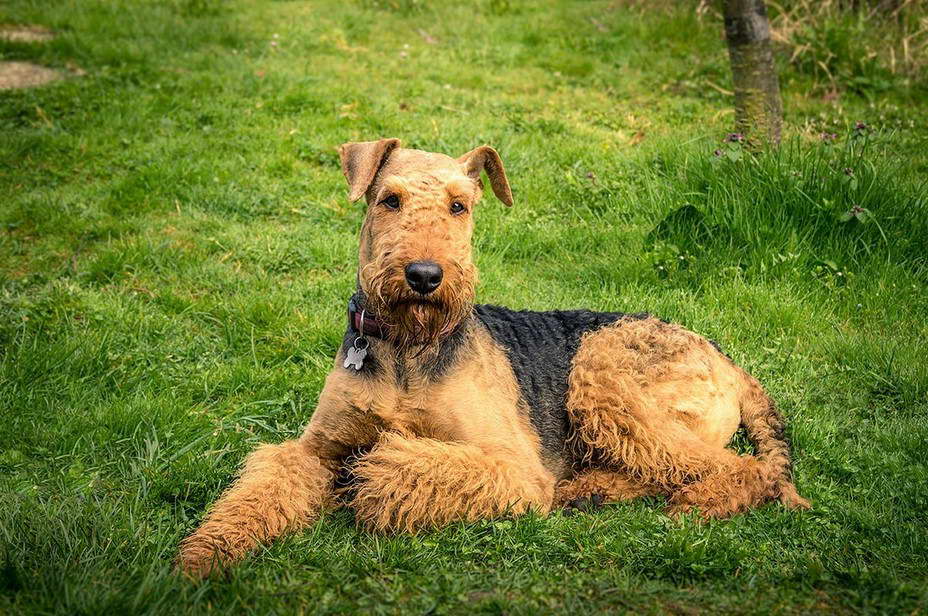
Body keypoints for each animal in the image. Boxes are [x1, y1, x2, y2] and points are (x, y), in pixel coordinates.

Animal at [176, 138, 812, 576]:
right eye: (389, 199)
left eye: (459, 206)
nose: (424, 276)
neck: (408, 348)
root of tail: (725, 359)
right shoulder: (313, 450)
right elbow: (262, 488)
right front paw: (201, 556)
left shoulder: (513, 465)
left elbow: (398, 463)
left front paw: (375, 467)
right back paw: (587, 491)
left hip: (602, 374)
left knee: (735, 467)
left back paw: (693, 503)